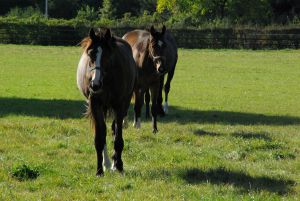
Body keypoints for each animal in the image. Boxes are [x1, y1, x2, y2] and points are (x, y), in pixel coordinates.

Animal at [77, 27, 138, 175]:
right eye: (90, 55)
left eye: (107, 55)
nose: (95, 84)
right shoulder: (95, 105)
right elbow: (100, 138)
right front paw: (99, 170)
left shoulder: (120, 105)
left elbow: (118, 137)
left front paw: (119, 165)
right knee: (103, 130)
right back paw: (107, 163)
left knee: (114, 128)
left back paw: (115, 163)